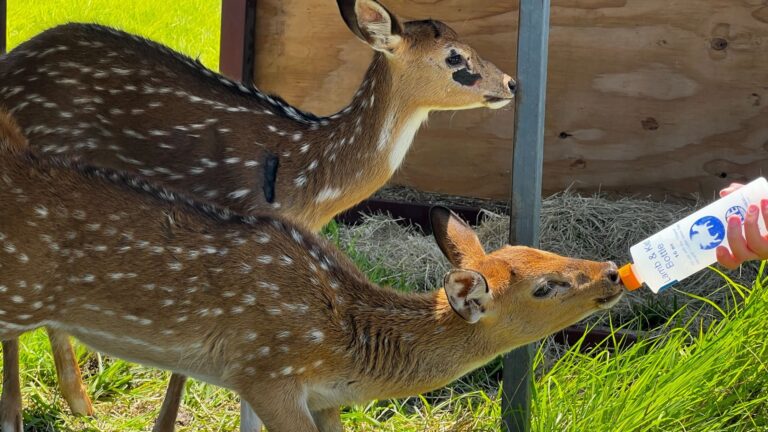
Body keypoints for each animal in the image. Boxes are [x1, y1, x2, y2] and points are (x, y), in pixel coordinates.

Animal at [0, 0, 516, 428]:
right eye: (455, 57)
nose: (512, 83)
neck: (309, 175)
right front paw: (164, 423)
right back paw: (25, 413)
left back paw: (79, 403)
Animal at [0, 111, 624, 432]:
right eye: (546, 287)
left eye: (539, 249)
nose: (613, 272)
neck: (350, 349)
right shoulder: (265, 372)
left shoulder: (324, 398)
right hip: (16, 294)